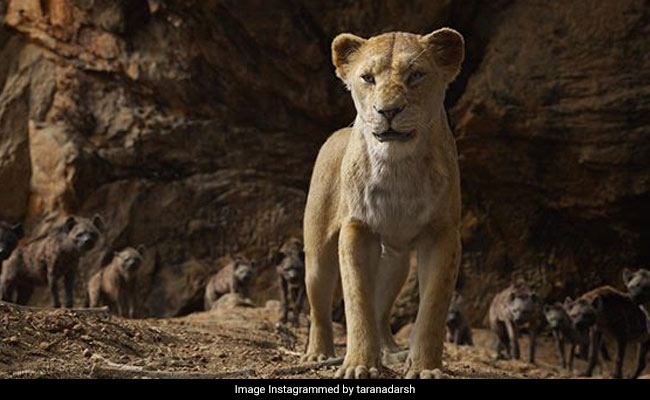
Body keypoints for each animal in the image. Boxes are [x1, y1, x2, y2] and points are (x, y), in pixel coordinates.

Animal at [301, 28, 464, 379]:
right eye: (367, 78)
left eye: (416, 75)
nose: (388, 111)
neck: (397, 164)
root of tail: (335, 134)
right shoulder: (357, 229)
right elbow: (357, 301)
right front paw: (359, 365)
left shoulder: (443, 233)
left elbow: (433, 306)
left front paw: (425, 368)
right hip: (318, 254)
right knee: (319, 307)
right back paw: (318, 353)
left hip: (397, 262)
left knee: (381, 309)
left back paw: (390, 351)